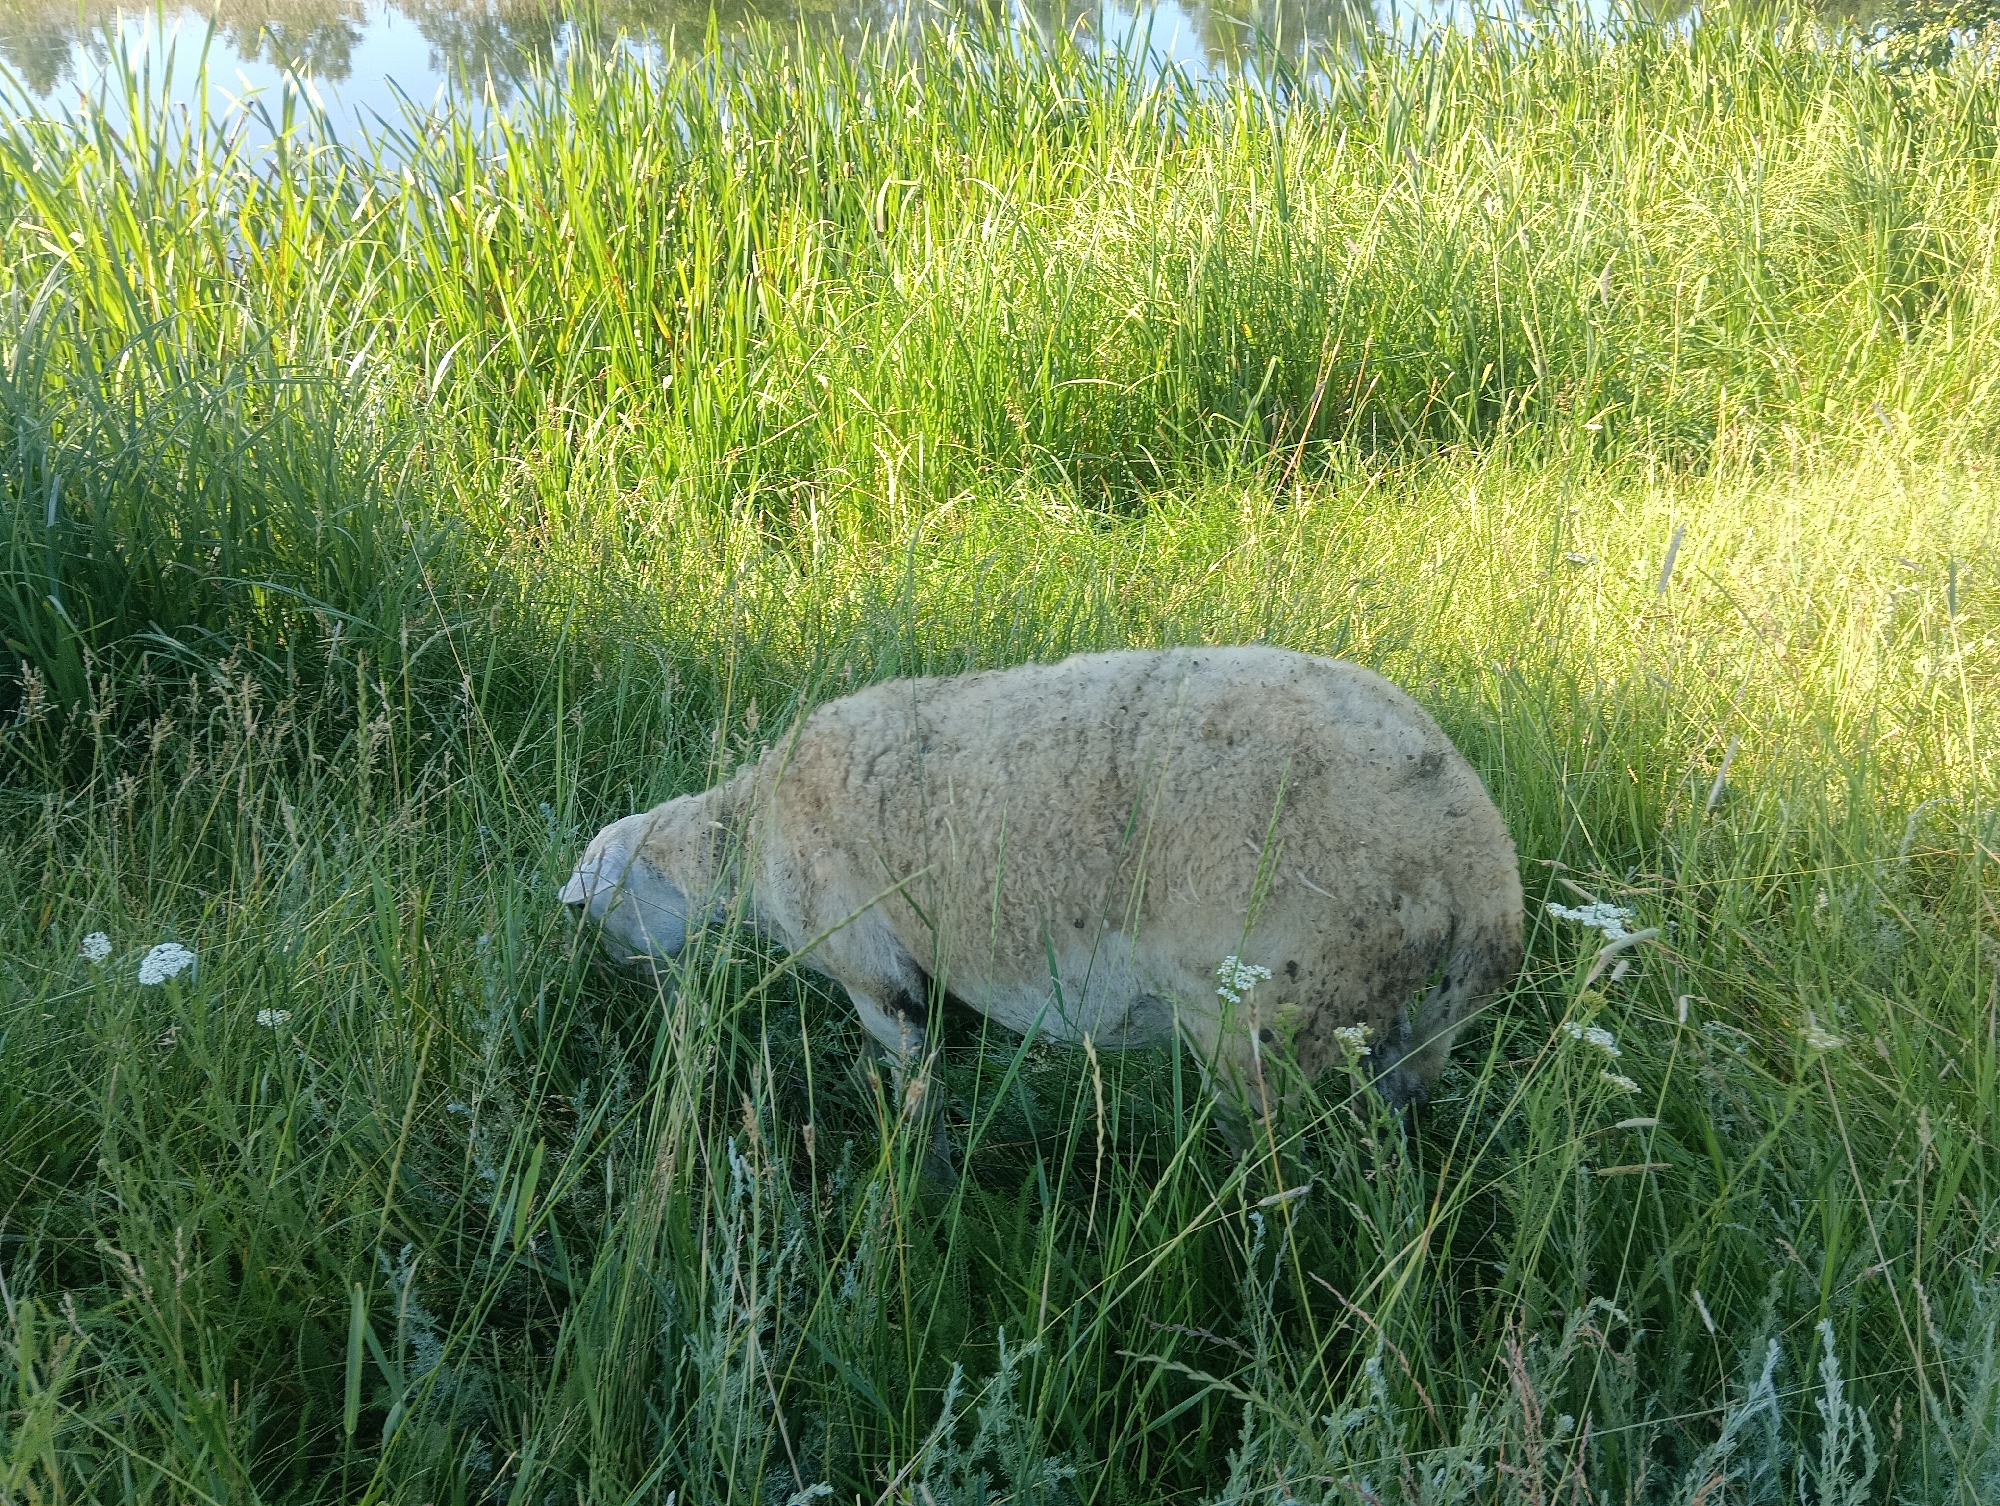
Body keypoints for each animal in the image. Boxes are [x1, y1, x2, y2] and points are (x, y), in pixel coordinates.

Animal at [561, 646, 1523, 1175]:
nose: (622, 980)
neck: (749, 838)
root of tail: (1485, 879)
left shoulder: (872, 972)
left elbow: (914, 1083)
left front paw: (925, 1183)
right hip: (1397, 1023)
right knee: (1400, 1125)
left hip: (1271, 1011)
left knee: (1273, 1164)